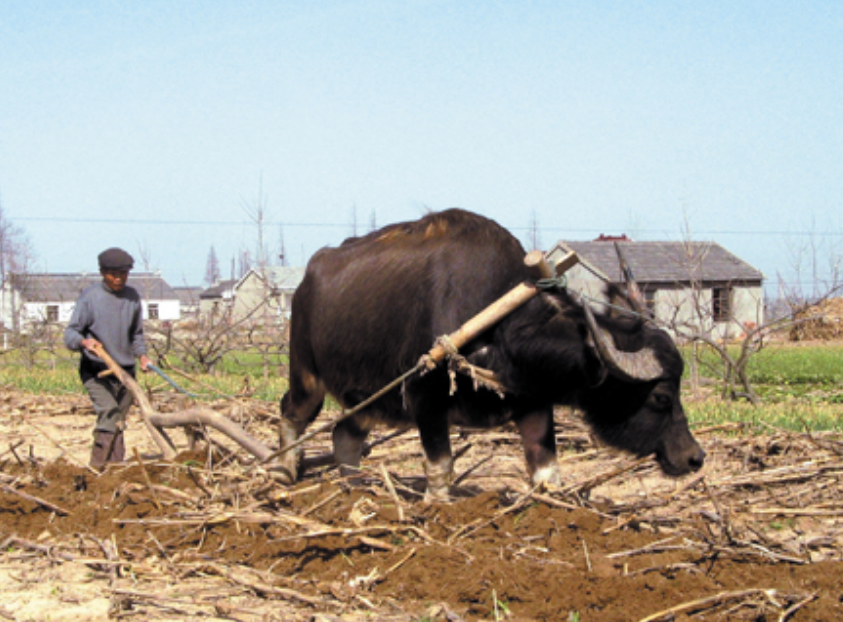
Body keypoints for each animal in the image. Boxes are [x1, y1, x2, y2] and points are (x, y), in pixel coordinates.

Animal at [278, 210, 704, 502]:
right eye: (661, 396)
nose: (694, 458)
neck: (498, 330)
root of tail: (308, 279)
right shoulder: (425, 398)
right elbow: (441, 468)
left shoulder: (533, 403)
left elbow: (547, 471)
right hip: (307, 376)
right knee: (293, 412)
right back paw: (284, 473)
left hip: (369, 400)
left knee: (344, 435)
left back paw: (355, 490)